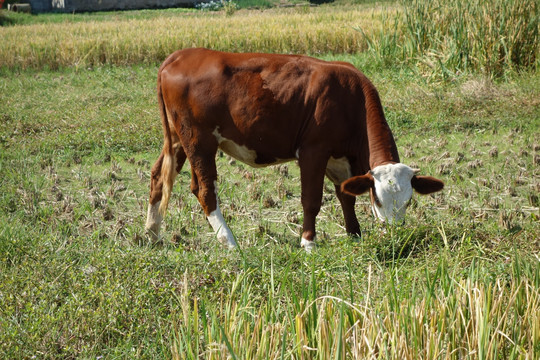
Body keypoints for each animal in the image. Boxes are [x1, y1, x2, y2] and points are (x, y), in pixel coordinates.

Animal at [143, 47, 442, 250]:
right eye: (378, 199)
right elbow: (311, 200)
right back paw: (230, 242)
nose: (395, 235)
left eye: (409, 201)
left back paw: (152, 234)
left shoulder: (341, 159)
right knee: (204, 189)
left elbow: (346, 196)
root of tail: (182, 55)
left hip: (177, 139)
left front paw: (354, 235)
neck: (351, 99)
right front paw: (308, 242)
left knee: (158, 176)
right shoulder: (313, 151)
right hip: (199, 140)